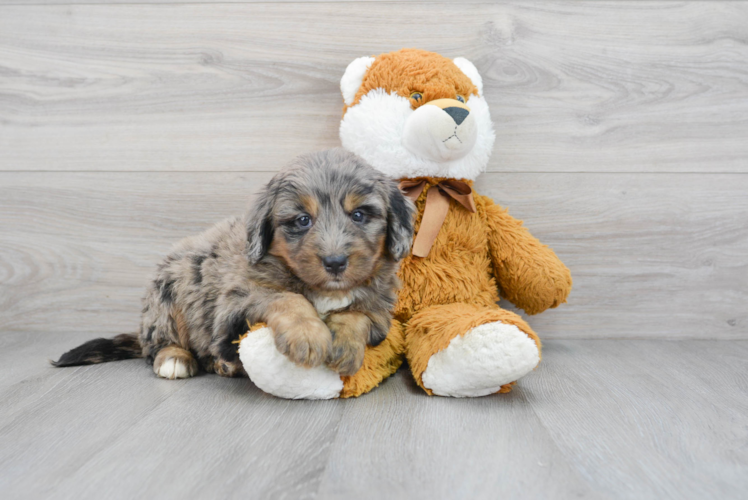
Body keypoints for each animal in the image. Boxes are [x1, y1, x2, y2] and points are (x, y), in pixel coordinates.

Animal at [52, 148, 414, 378]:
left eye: (359, 215)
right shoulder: (236, 303)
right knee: (159, 345)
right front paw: (308, 335)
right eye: (302, 220)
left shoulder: (381, 311)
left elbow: (356, 314)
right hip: (166, 295)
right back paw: (176, 359)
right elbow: (286, 297)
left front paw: (344, 346)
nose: (335, 262)